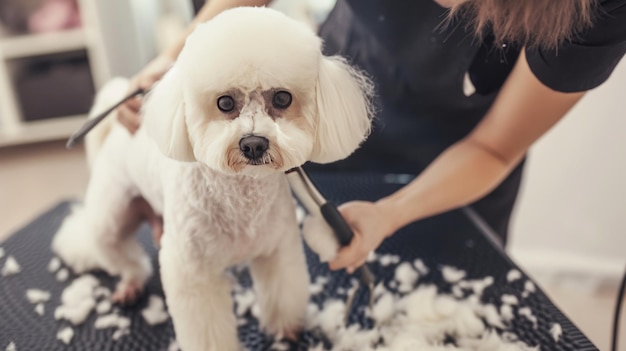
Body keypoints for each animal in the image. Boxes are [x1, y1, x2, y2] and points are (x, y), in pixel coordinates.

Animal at [52, 6, 370, 351]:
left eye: (283, 99)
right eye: (225, 102)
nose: (253, 144)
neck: (240, 197)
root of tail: (116, 131)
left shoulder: (277, 250)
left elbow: (283, 291)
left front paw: (286, 329)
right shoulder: (193, 274)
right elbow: (206, 329)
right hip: (108, 218)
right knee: (120, 256)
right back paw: (130, 284)